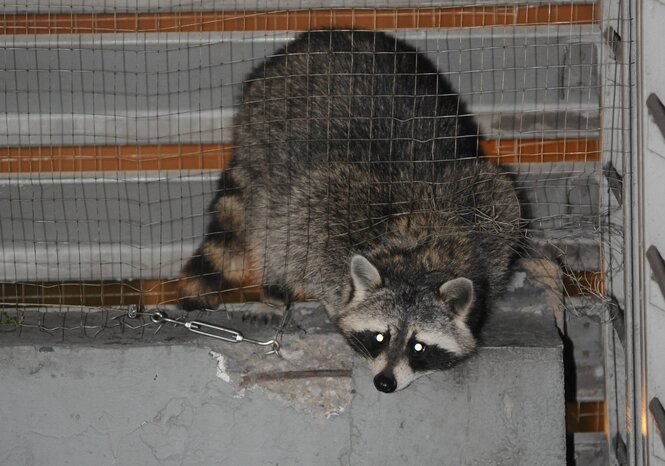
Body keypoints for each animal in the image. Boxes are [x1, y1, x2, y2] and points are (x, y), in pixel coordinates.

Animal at [178, 30, 524, 394]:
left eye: (418, 346)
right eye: (379, 337)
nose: (384, 383)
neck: (418, 255)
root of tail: (320, 36)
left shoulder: (487, 210)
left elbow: (504, 204)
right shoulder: (331, 199)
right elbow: (303, 226)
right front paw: (330, 299)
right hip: (263, 131)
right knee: (270, 217)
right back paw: (274, 290)